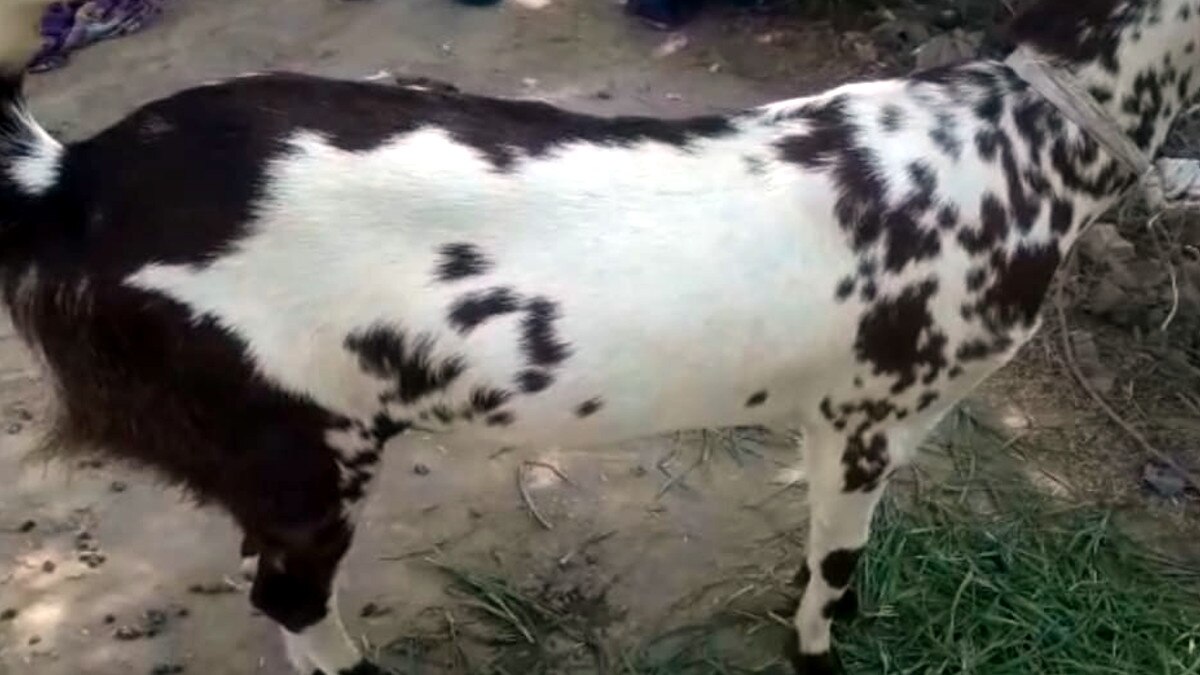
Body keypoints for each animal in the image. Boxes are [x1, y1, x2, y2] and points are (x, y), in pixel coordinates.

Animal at [0, 0, 1193, 672]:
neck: (1013, 141)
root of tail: (73, 182)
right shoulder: (867, 417)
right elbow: (833, 569)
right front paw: (818, 648)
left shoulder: (834, 424)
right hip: (303, 453)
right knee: (289, 602)